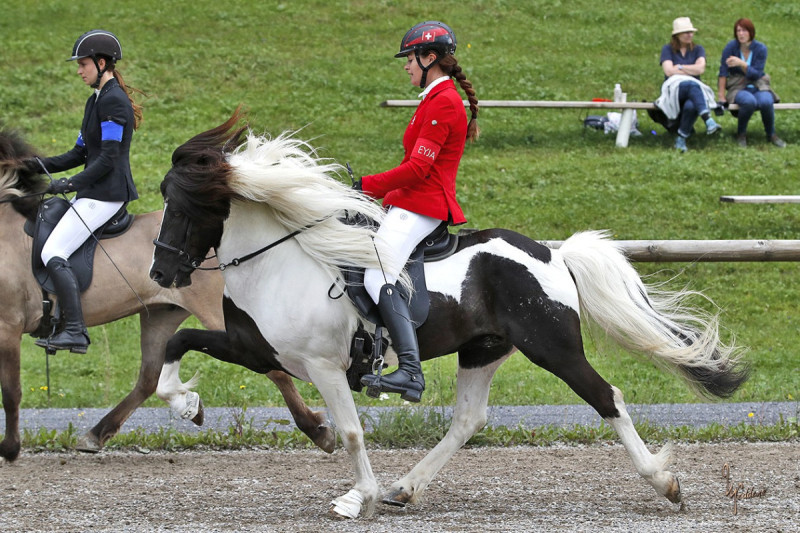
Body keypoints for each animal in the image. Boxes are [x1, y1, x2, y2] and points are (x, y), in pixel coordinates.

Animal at [0, 129, 334, 462]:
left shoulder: (8, 326)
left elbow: (11, 391)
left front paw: (10, 449)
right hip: (160, 314)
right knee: (149, 378)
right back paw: (108, 430)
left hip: (220, 315)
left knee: (276, 370)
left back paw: (317, 430)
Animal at [150, 111, 752, 516]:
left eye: (181, 207)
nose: (160, 273)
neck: (278, 261)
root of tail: (552, 254)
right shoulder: (256, 349)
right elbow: (178, 345)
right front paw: (186, 405)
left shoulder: (324, 366)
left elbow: (351, 432)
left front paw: (357, 497)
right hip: (482, 350)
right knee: (467, 421)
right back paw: (405, 487)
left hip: (552, 347)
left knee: (609, 398)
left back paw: (664, 483)